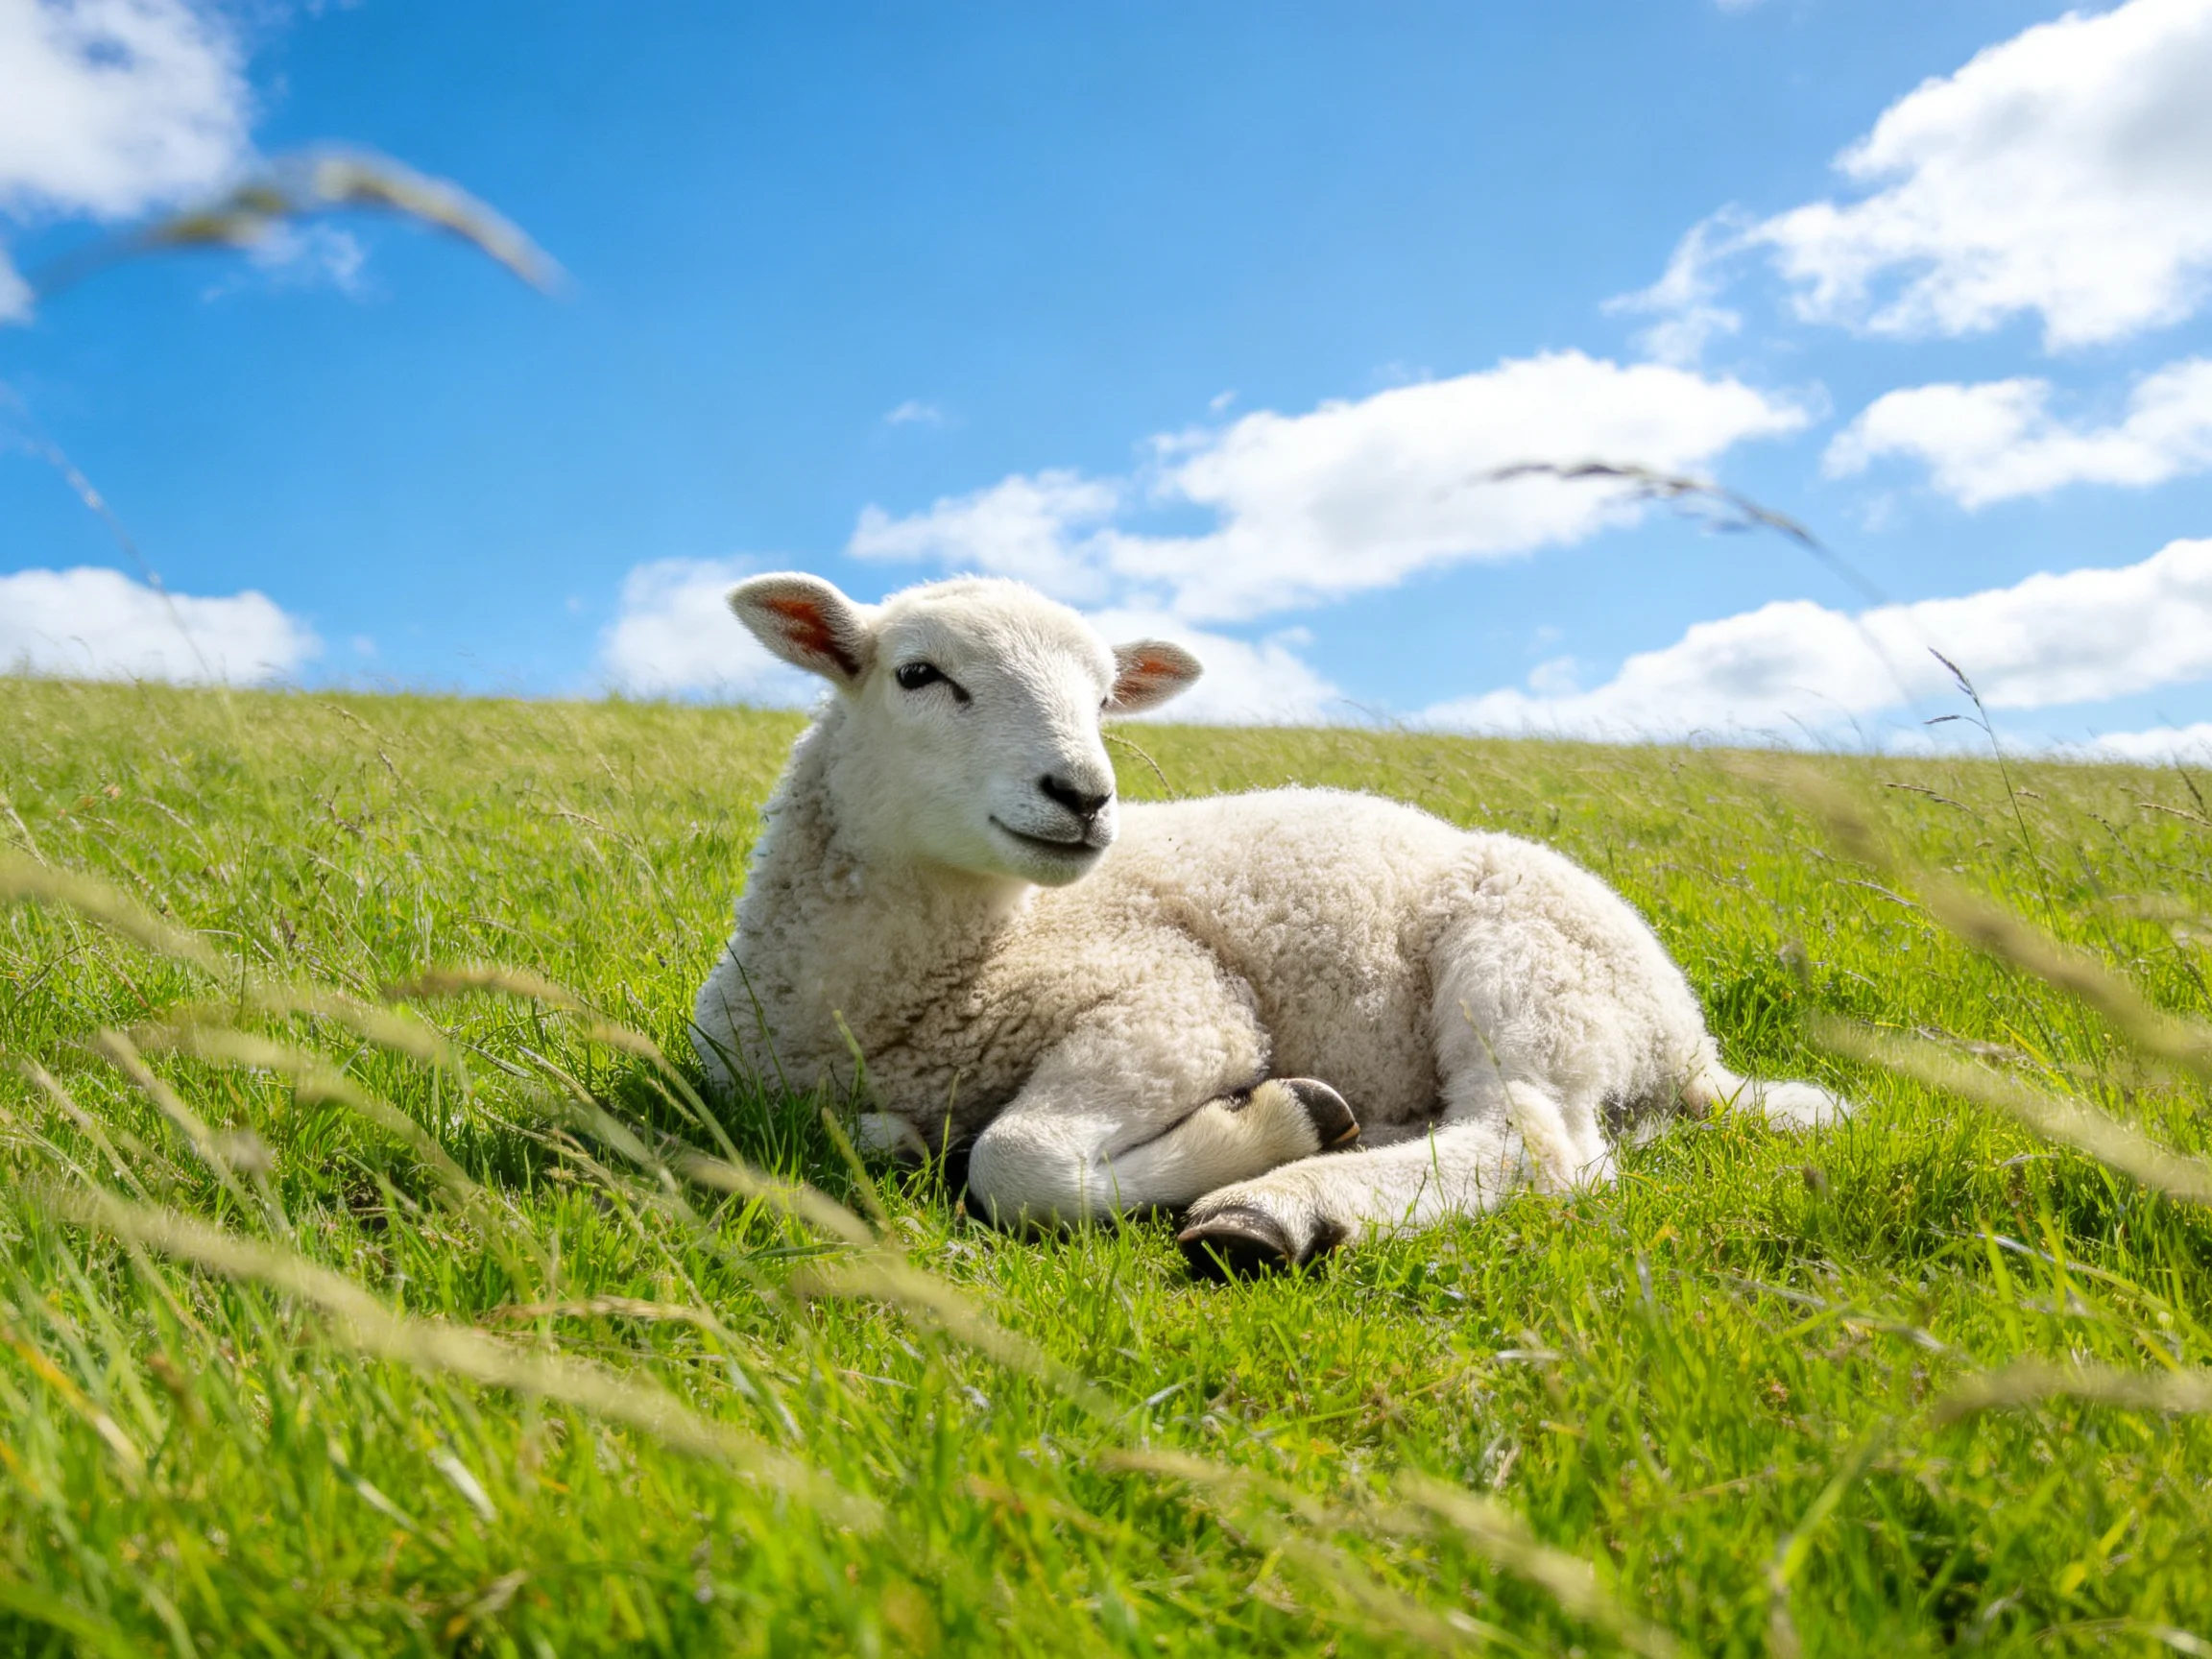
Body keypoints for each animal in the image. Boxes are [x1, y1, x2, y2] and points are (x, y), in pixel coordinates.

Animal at [692, 571, 1848, 1278]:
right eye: (918, 675)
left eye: (1105, 700)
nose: (1085, 796)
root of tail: (1690, 1042)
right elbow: (862, 1132)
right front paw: (904, 1139)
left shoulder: (1174, 1001)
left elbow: (1018, 1166)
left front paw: (1266, 1121)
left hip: (1524, 963)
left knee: (1530, 1146)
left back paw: (1281, 1202)